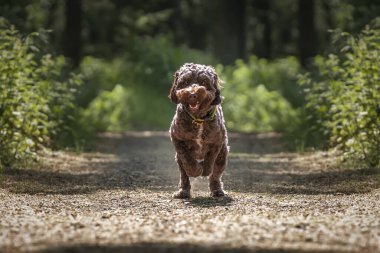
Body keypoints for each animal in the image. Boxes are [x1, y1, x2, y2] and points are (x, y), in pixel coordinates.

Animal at [169, 62, 229, 198]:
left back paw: (217, 190)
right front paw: (195, 170)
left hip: (223, 155)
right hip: (178, 160)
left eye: (203, 82)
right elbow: (187, 160)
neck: (198, 119)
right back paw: (183, 191)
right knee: (184, 175)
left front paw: (205, 169)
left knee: (215, 175)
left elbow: (210, 159)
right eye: (185, 82)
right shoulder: (177, 138)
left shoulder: (217, 142)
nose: (192, 94)